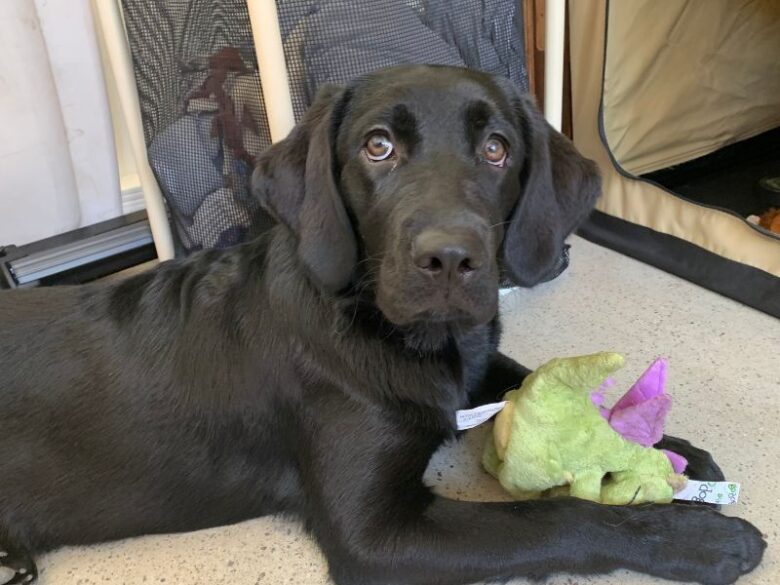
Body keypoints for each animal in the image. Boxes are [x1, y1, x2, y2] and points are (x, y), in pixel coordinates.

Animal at [0, 66, 764, 580]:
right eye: (377, 147)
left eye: (496, 148)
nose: (450, 258)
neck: (398, 333)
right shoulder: (374, 533)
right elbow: (552, 515)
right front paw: (695, 540)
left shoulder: (475, 363)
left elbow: (527, 378)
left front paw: (668, 449)